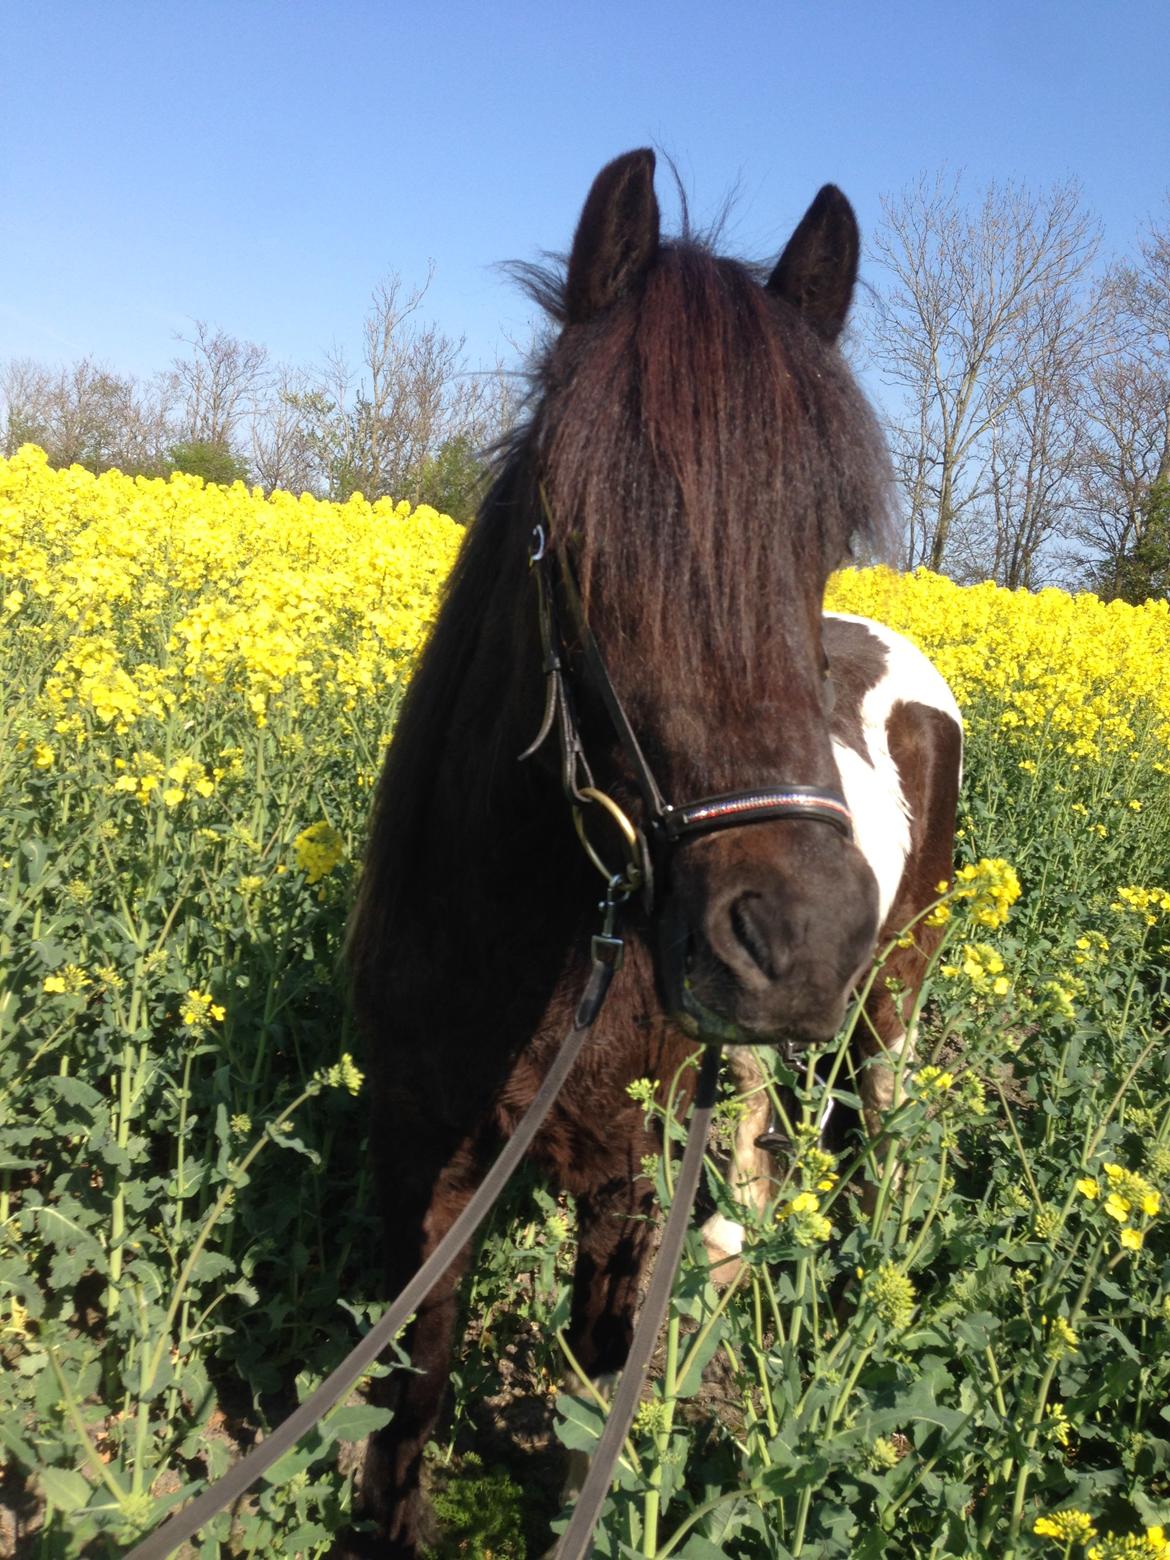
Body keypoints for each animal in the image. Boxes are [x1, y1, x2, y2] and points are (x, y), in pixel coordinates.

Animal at [346, 148, 960, 1560]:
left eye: (822, 538)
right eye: (577, 535)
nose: (798, 947)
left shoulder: (622, 1167)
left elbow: (598, 1371)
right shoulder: (422, 1153)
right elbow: (416, 1384)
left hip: (893, 996)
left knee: (873, 1125)